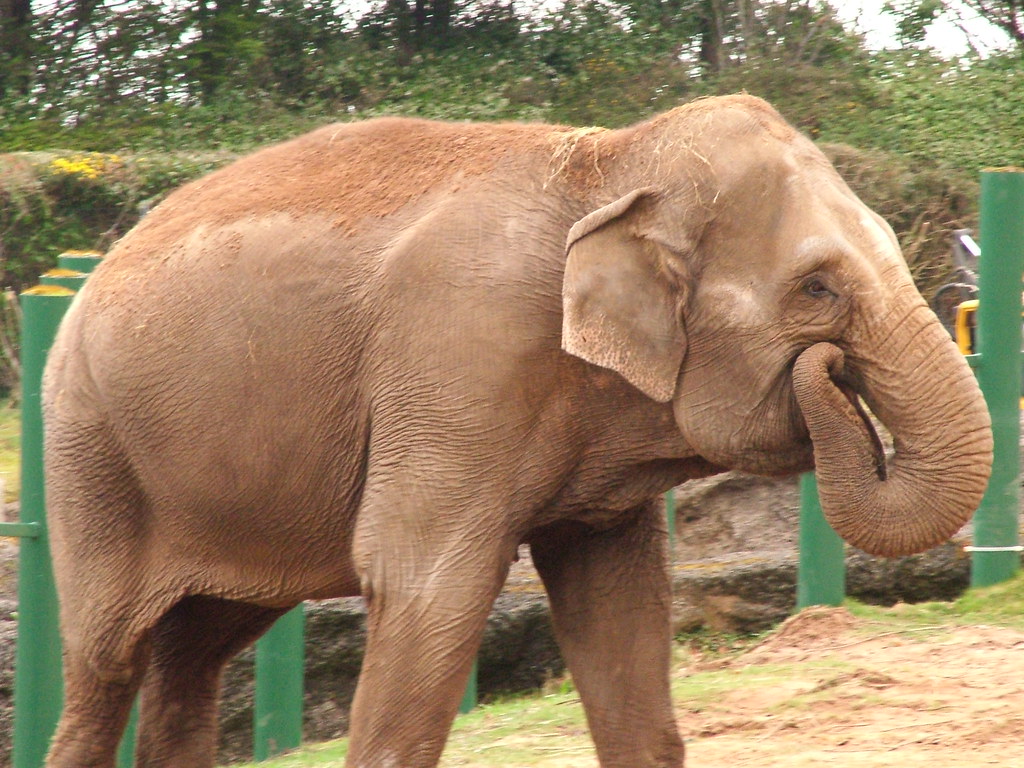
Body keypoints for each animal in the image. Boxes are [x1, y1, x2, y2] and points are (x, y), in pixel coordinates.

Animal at [42, 94, 992, 768]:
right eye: (817, 290)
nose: (828, 370)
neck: (610, 161)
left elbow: (617, 598)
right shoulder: (459, 359)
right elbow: (425, 588)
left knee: (198, 648)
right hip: (91, 454)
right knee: (106, 660)